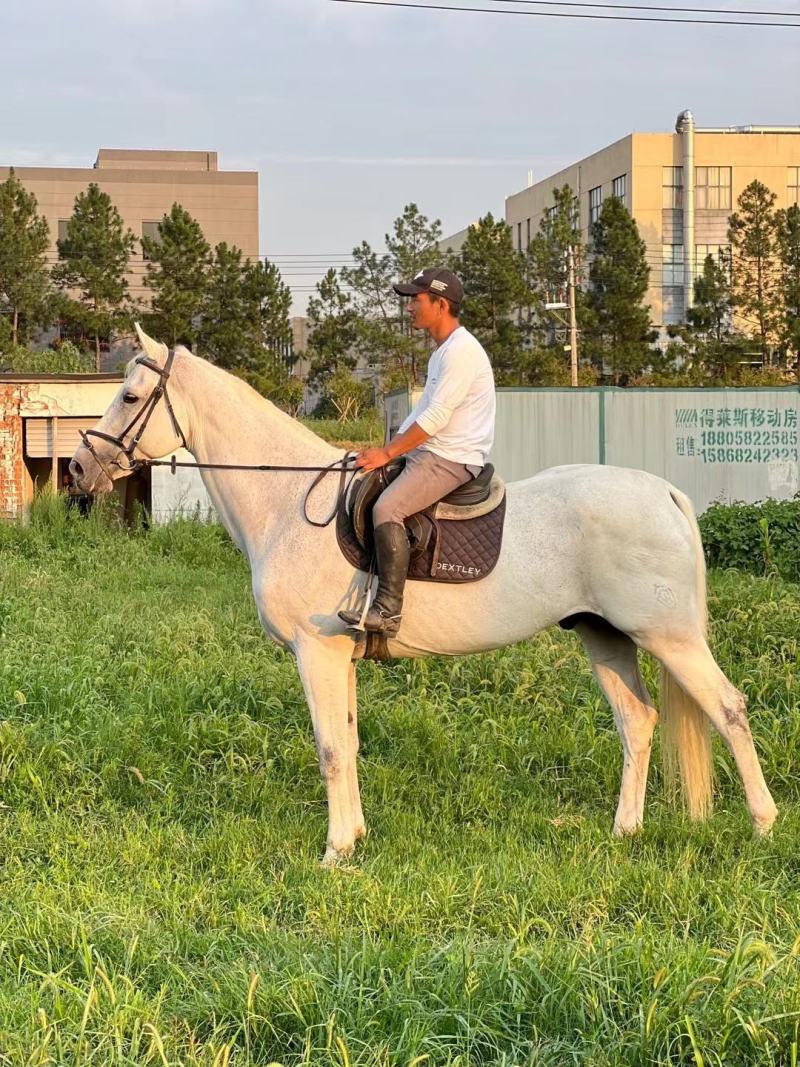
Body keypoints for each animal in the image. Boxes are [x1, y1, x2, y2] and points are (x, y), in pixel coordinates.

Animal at [69, 325, 777, 866]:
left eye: (130, 395)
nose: (79, 468)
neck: (288, 502)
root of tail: (663, 491)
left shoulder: (316, 651)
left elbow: (330, 749)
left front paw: (334, 853)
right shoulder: (340, 656)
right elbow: (349, 743)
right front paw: (355, 838)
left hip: (670, 637)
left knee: (730, 709)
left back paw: (763, 824)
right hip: (606, 638)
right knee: (637, 721)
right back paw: (624, 831)